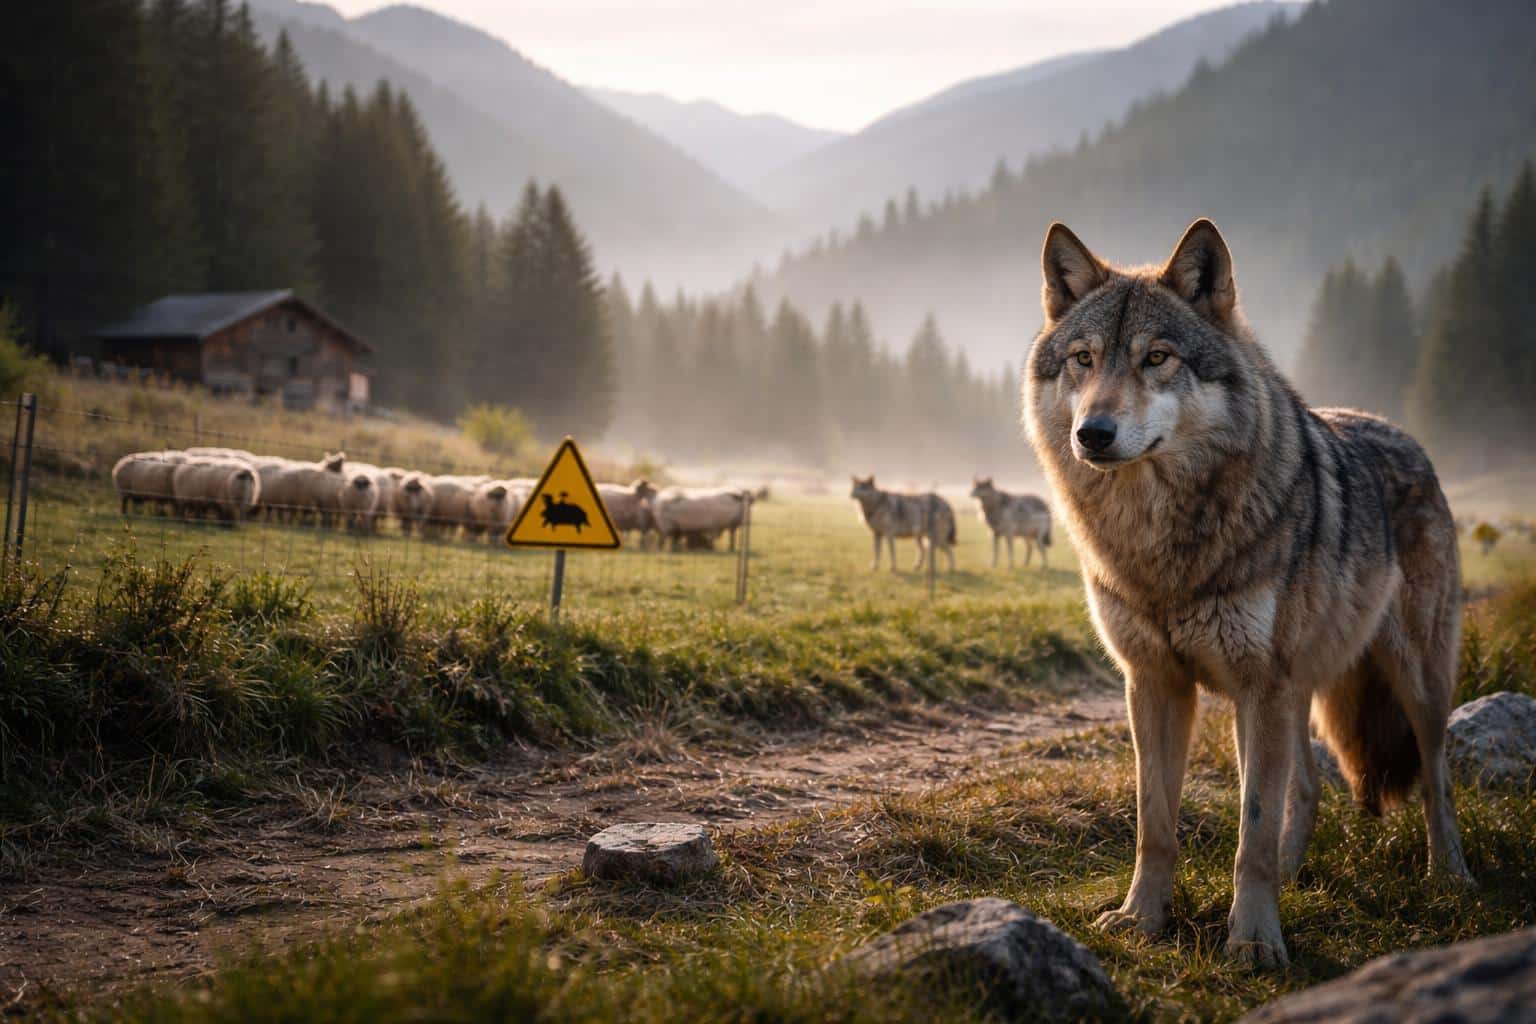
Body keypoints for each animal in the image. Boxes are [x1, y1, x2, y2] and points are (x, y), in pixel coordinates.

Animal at [1022, 218, 1472, 968]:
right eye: (1084, 359)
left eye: (1158, 358)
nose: (1093, 433)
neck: (1159, 541)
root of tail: (1403, 435)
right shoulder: (1154, 684)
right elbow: (1156, 824)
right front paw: (1143, 918)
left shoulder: (1258, 688)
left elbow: (1251, 830)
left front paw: (1255, 940)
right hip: (1297, 693)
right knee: (1309, 790)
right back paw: (1294, 875)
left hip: (1413, 683)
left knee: (1436, 779)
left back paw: (1450, 876)